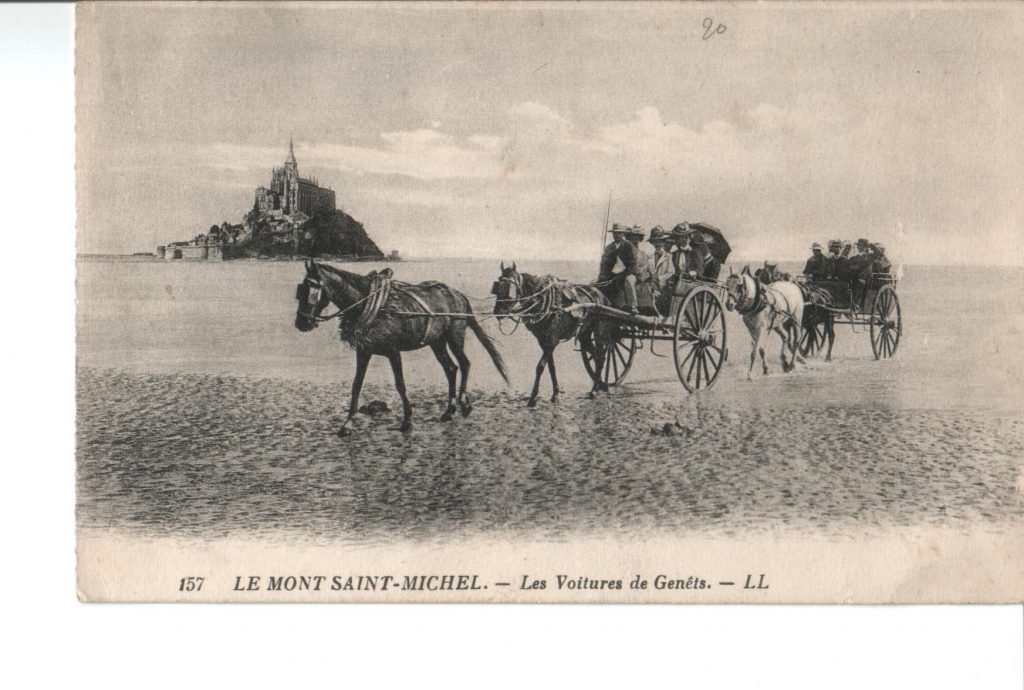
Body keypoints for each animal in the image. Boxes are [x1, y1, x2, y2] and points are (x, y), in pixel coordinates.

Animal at [294, 257, 505, 436]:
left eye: (312, 291)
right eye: (300, 291)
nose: (301, 324)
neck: (370, 304)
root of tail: (459, 295)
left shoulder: (393, 352)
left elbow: (400, 384)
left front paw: (407, 420)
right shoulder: (364, 351)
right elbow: (356, 385)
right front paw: (348, 424)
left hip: (455, 336)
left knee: (465, 364)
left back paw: (464, 404)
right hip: (436, 342)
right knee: (451, 368)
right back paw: (449, 410)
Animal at [491, 262, 610, 403]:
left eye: (510, 287)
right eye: (497, 286)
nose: (498, 311)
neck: (542, 301)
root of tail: (601, 295)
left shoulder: (552, 340)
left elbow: (540, 366)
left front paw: (533, 397)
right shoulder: (542, 340)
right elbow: (551, 366)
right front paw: (555, 393)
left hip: (599, 331)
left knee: (601, 357)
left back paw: (595, 390)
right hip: (584, 334)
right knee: (596, 357)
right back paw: (602, 385)